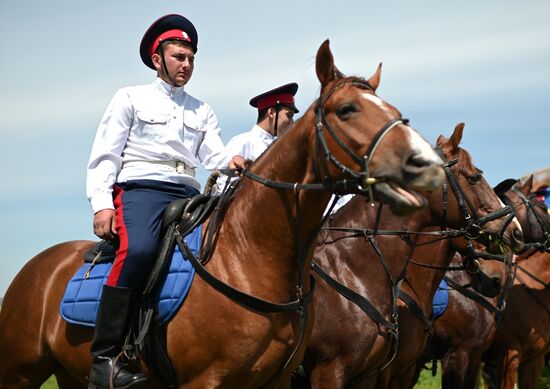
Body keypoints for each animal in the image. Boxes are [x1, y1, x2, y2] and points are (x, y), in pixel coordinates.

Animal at [0, 41, 448, 386]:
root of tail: (35, 267)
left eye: (392, 109)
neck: (250, 257)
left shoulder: (278, 380)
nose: (426, 164)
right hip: (19, 373)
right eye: (347, 109)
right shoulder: (210, 381)